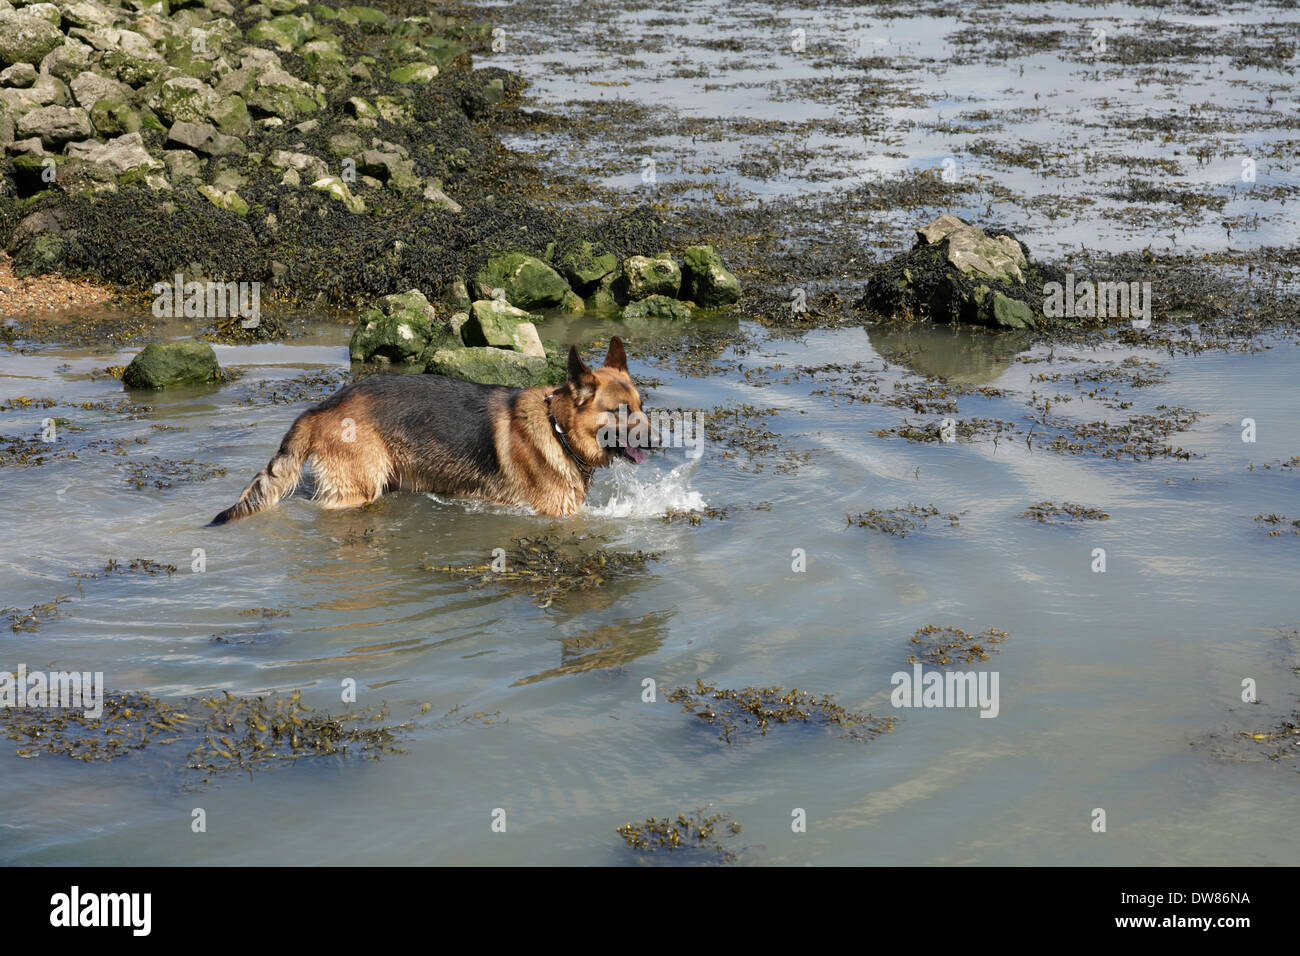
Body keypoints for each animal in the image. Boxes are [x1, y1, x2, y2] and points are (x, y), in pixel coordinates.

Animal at [210, 335, 650, 528]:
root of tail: (323, 407)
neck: (556, 427)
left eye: (642, 406)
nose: (658, 440)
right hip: (356, 492)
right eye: (620, 411)